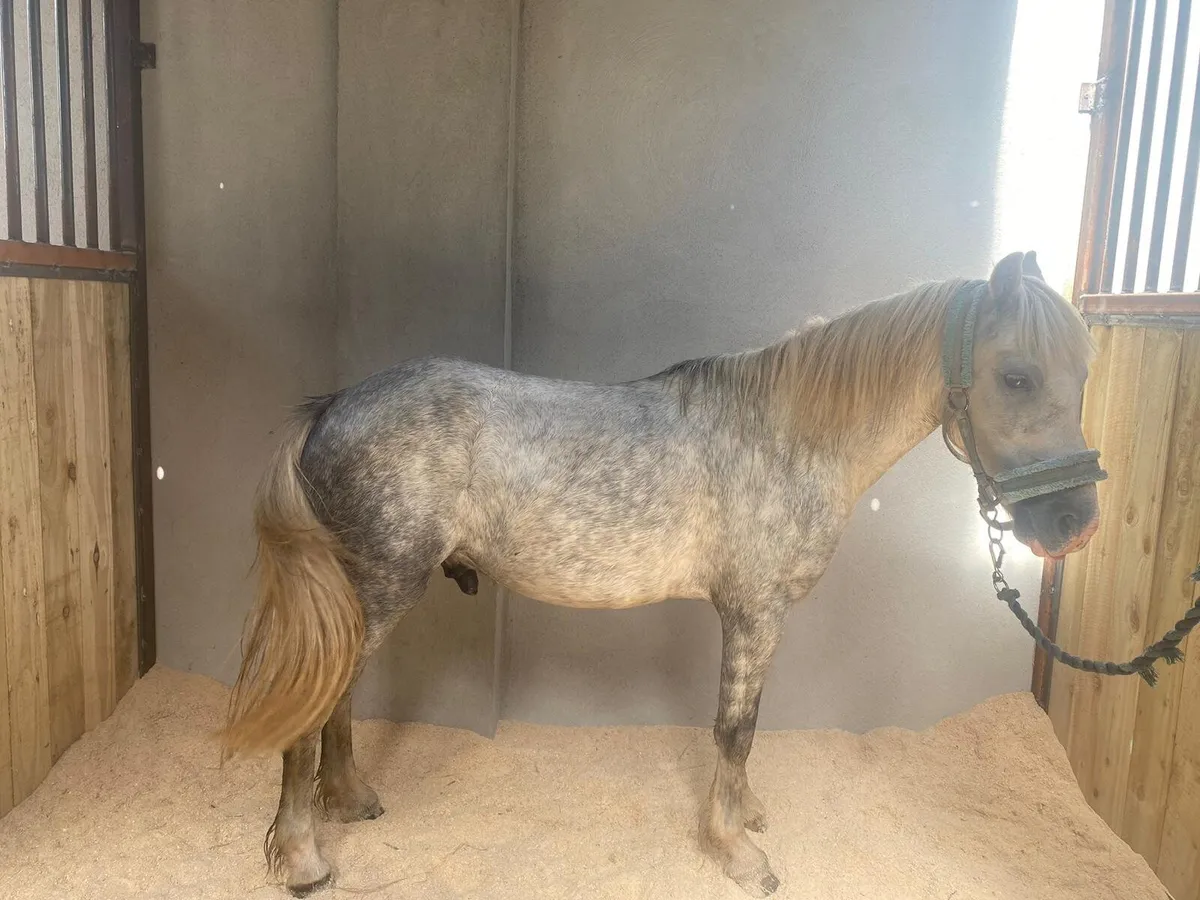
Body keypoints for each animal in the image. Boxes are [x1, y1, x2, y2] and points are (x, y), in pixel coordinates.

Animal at [220, 251, 1102, 897]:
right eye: (1017, 375)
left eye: (1083, 374)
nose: (1075, 523)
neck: (786, 435)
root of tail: (331, 407)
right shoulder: (752, 611)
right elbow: (734, 728)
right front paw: (734, 852)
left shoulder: (762, 618)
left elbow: (747, 727)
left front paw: (744, 817)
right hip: (377, 590)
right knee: (315, 702)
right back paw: (304, 859)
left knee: (336, 697)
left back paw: (350, 802)